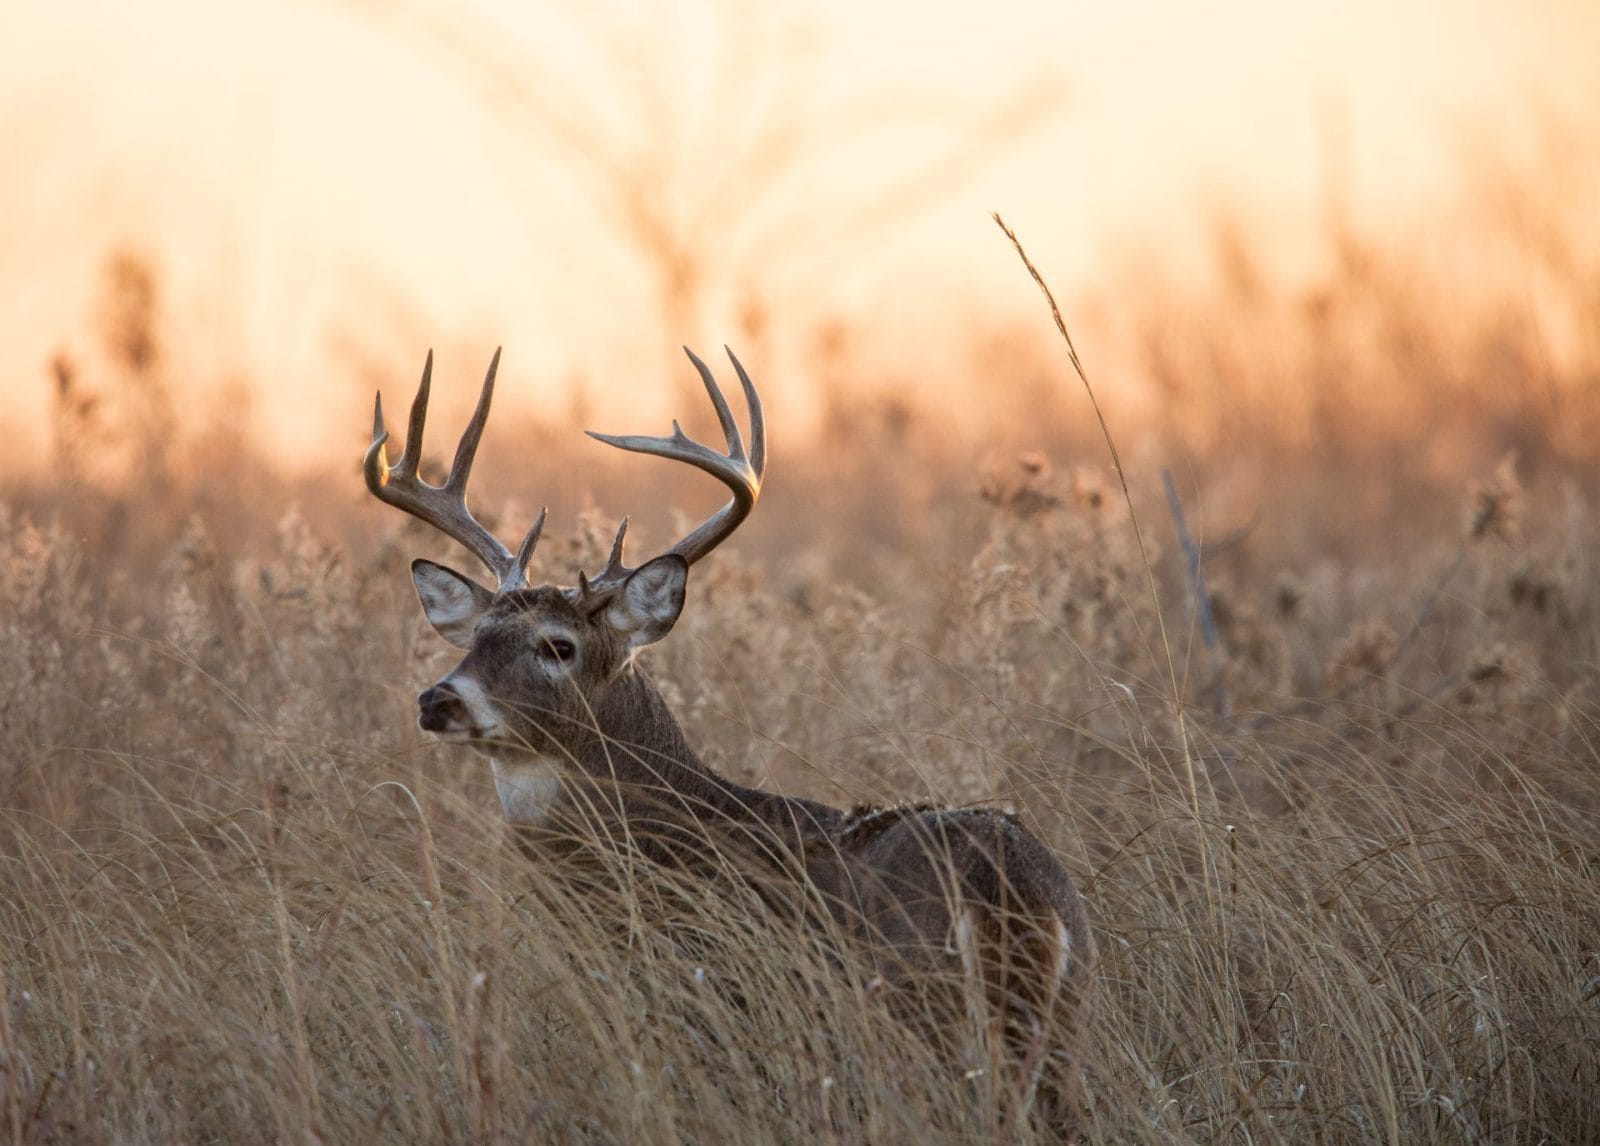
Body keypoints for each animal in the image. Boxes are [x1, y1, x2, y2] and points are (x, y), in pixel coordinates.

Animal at [363, 347, 1095, 1137]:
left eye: (557, 645)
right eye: (476, 637)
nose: (438, 699)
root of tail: (1006, 894)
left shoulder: (710, 1003)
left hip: (918, 1016)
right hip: (1060, 1028)